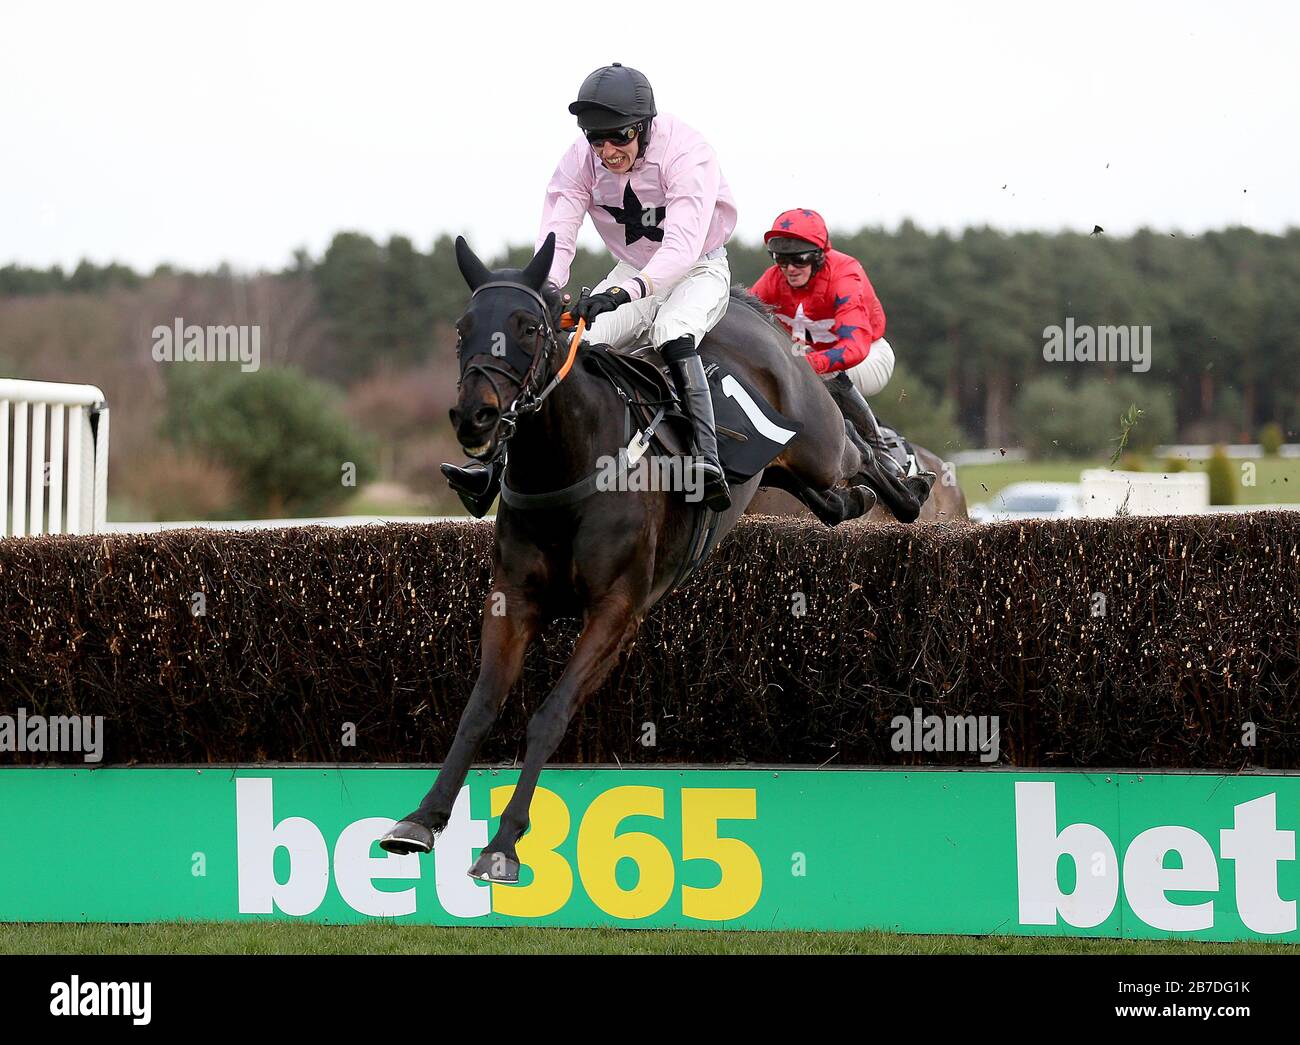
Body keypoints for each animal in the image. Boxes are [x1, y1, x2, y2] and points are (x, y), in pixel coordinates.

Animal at [379, 235, 878, 873]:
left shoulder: (616, 613)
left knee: (855, 445)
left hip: (817, 443)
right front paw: (421, 819)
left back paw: (903, 476)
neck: (567, 464)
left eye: (527, 326)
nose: (475, 417)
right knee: (835, 499)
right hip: (790, 471)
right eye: (463, 329)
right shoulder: (512, 601)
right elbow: (478, 710)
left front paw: (504, 843)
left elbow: (549, 717)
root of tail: (750, 311)